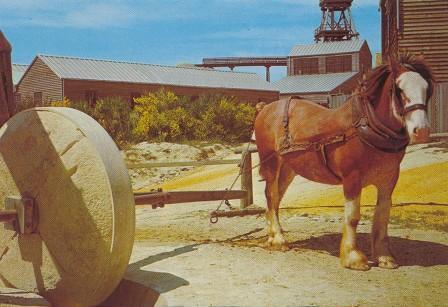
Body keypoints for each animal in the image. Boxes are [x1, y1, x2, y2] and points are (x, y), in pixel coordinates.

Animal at [256, 54, 434, 270]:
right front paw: (353, 257)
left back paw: (273, 235)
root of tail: (266, 108)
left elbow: (382, 216)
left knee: (276, 198)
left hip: (289, 168)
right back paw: (279, 239)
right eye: (400, 89)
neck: (365, 127)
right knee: (271, 195)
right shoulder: (351, 178)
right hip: (271, 163)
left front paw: (384, 256)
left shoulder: (389, 180)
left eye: (427, 89)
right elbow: (352, 216)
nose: (421, 131)